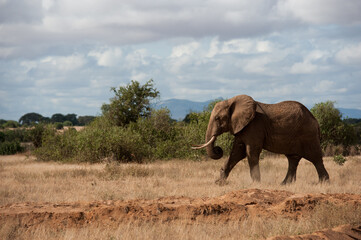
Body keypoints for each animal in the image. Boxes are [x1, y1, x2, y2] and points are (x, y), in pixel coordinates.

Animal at [191, 94, 330, 185]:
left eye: (217, 118)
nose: (218, 149)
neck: (231, 101)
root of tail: (316, 121)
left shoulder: (254, 126)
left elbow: (251, 152)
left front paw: (256, 184)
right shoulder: (242, 127)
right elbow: (237, 152)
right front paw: (219, 182)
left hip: (308, 135)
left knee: (315, 158)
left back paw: (324, 183)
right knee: (293, 159)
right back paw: (284, 184)